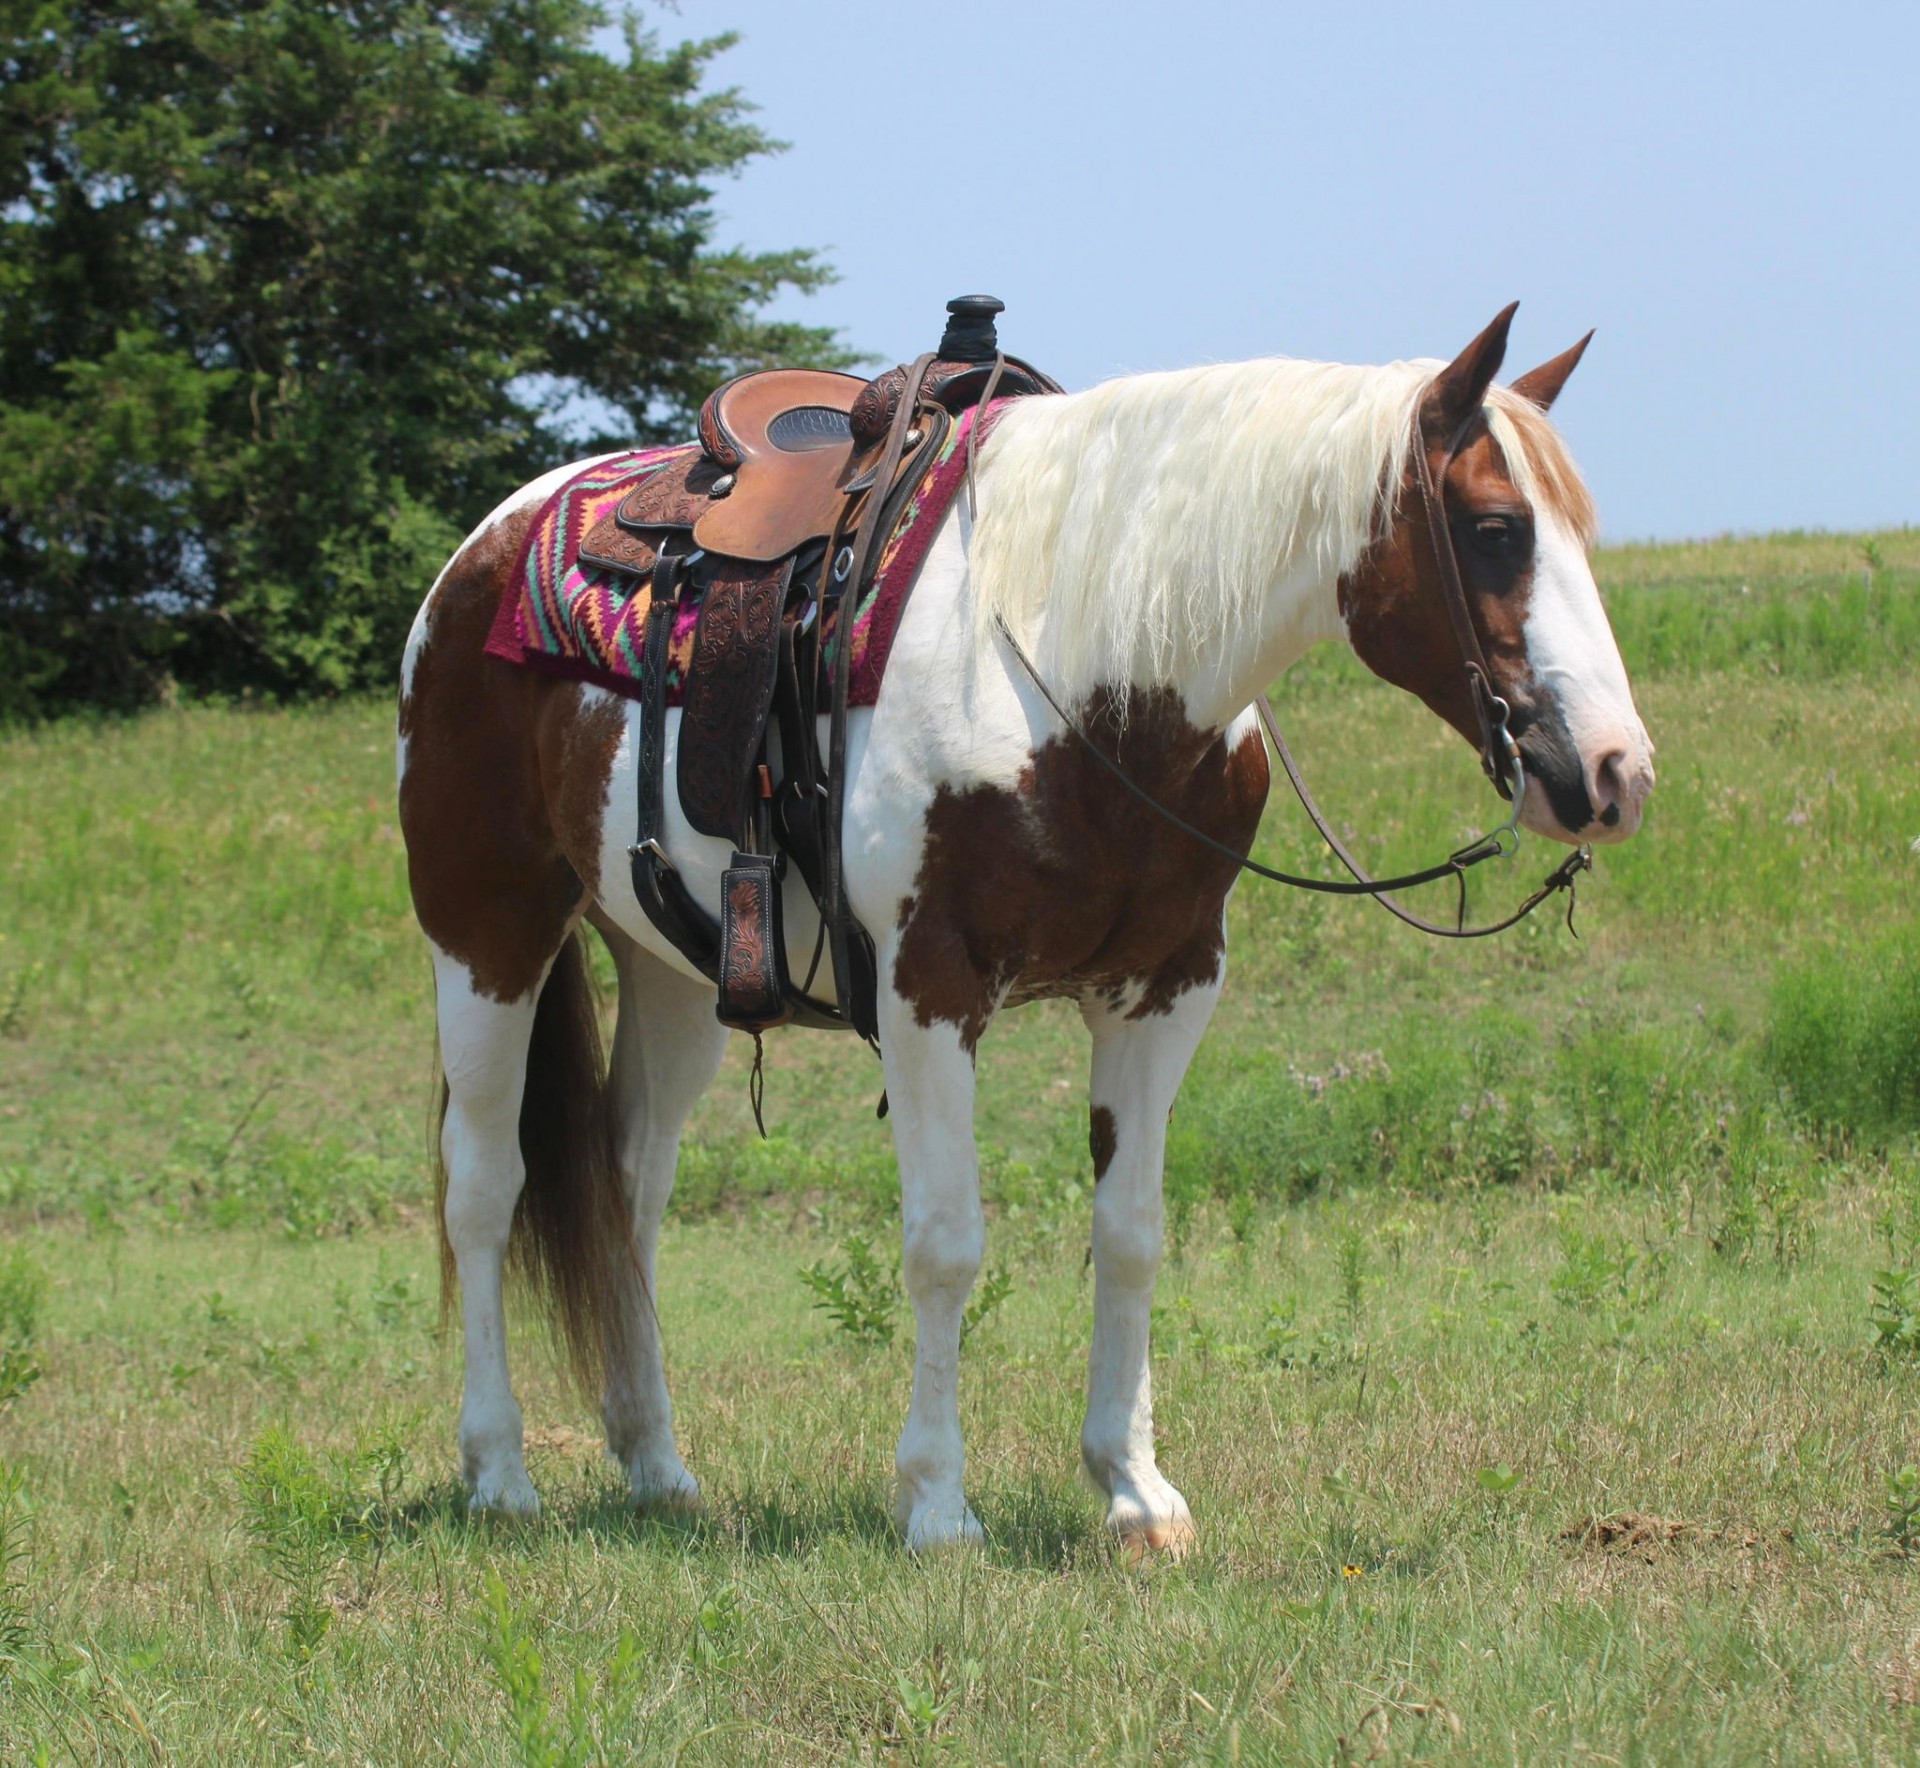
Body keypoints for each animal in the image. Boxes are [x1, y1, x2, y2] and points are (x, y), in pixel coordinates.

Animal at [389, 310, 1651, 1551]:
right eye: (1495, 530)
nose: (1615, 773)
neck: (1086, 660)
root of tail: (482, 552)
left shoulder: (1165, 989)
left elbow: (1132, 1230)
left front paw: (1135, 1488)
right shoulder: (928, 991)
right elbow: (947, 1244)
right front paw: (939, 1502)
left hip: (677, 974)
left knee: (629, 1193)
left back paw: (655, 1464)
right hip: (486, 929)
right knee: (484, 1186)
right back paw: (499, 1472)